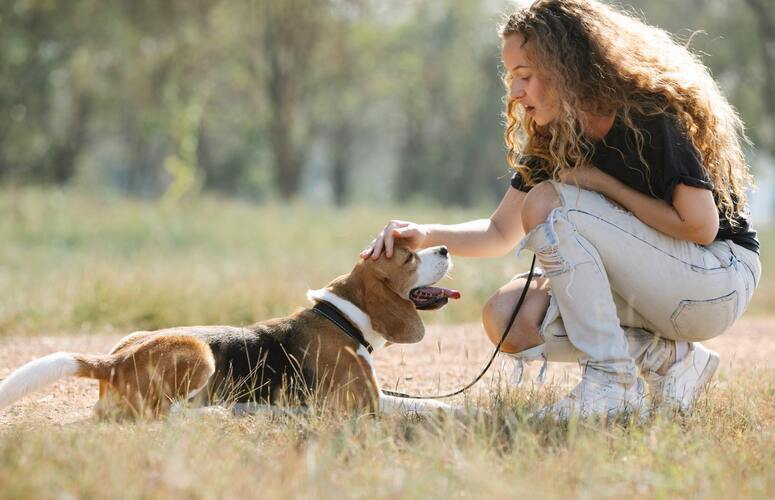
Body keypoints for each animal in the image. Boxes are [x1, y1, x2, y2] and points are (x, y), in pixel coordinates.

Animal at [0, 243, 460, 418]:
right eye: (408, 259)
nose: (443, 247)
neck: (344, 316)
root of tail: (113, 361)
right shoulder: (363, 403)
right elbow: (425, 407)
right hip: (197, 353)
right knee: (166, 414)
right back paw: (223, 411)